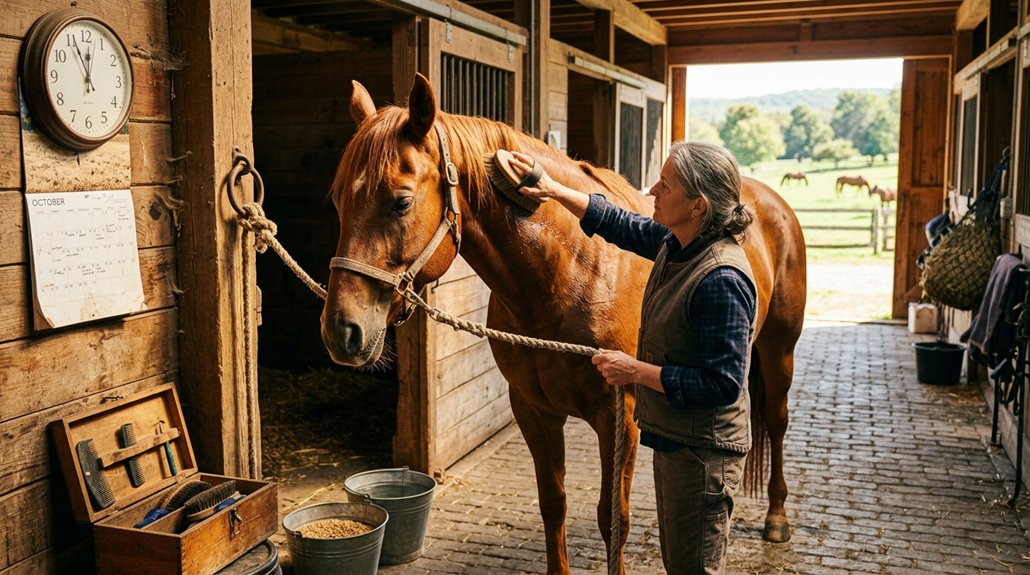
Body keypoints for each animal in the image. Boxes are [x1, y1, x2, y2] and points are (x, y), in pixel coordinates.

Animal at [320, 74, 807, 574]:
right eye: (338, 200)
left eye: (400, 202)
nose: (342, 330)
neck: (571, 273)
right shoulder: (533, 410)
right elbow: (553, 503)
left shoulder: (620, 416)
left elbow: (614, 519)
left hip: (779, 348)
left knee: (776, 420)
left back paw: (777, 518)